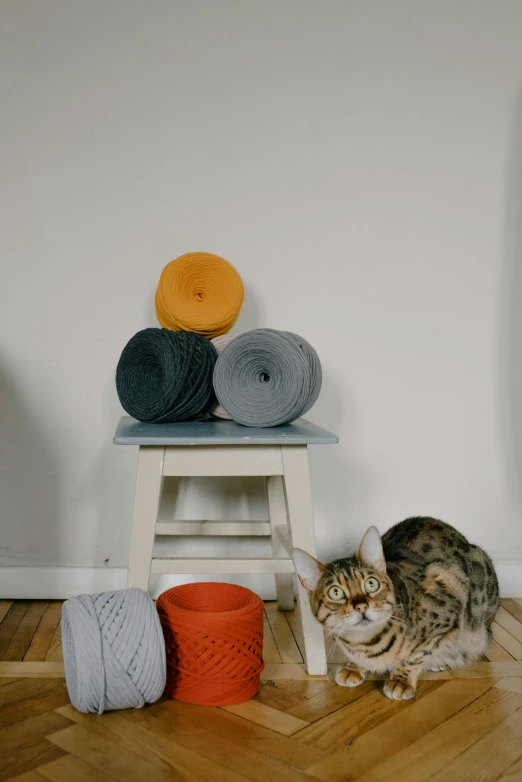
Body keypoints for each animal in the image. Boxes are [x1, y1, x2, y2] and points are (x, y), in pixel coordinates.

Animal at [292, 516, 496, 700]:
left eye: (371, 584)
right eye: (335, 592)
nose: (361, 606)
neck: (364, 645)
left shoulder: (448, 586)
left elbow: (417, 654)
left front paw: (401, 680)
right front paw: (354, 667)